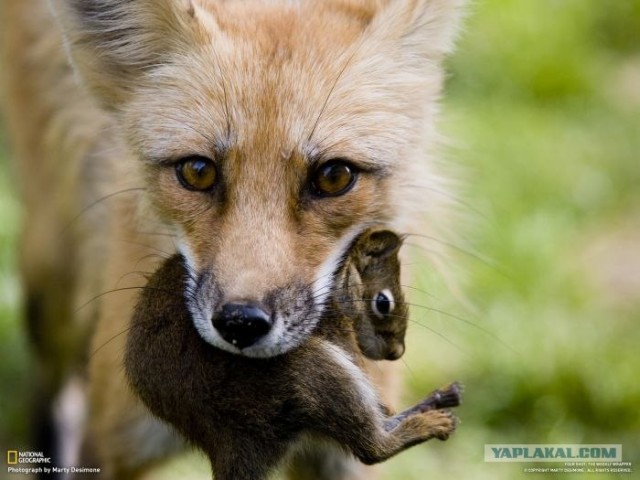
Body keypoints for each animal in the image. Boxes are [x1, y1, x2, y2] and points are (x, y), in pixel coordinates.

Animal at [125, 228, 460, 480]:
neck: (336, 280)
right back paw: (424, 424)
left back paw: (435, 401)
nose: (396, 352)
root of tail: (226, 441)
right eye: (383, 302)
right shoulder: (331, 327)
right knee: (372, 448)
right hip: (313, 372)